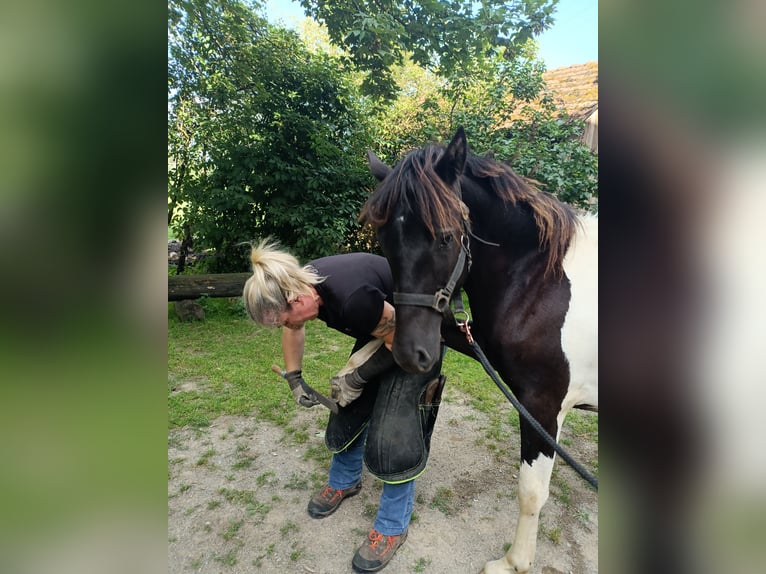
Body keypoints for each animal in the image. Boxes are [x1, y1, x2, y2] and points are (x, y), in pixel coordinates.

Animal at [360, 128, 600, 572]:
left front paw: (513, 563)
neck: (543, 282)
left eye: (445, 237)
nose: (410, 354)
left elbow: (531, 492)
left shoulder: (542, 407)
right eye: (384, 240)